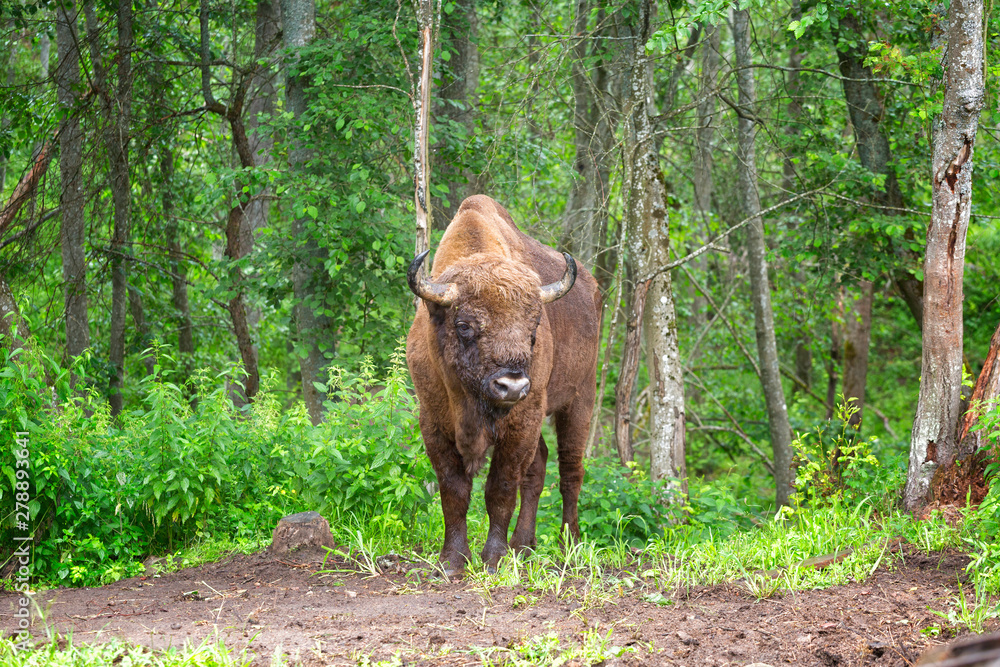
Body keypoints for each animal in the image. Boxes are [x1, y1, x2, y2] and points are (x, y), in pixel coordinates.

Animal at [406, 195, 601, 575]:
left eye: (534, 326)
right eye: (464, 325)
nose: (511, 386)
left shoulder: (521, 421)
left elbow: (501, 487)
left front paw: (493, 558)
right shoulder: (433, 422)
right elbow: (454, 490)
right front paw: (452, 560)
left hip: (579, 399)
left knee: (570, 470)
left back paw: (568, 544)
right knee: (539, 468)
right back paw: (523, 545)